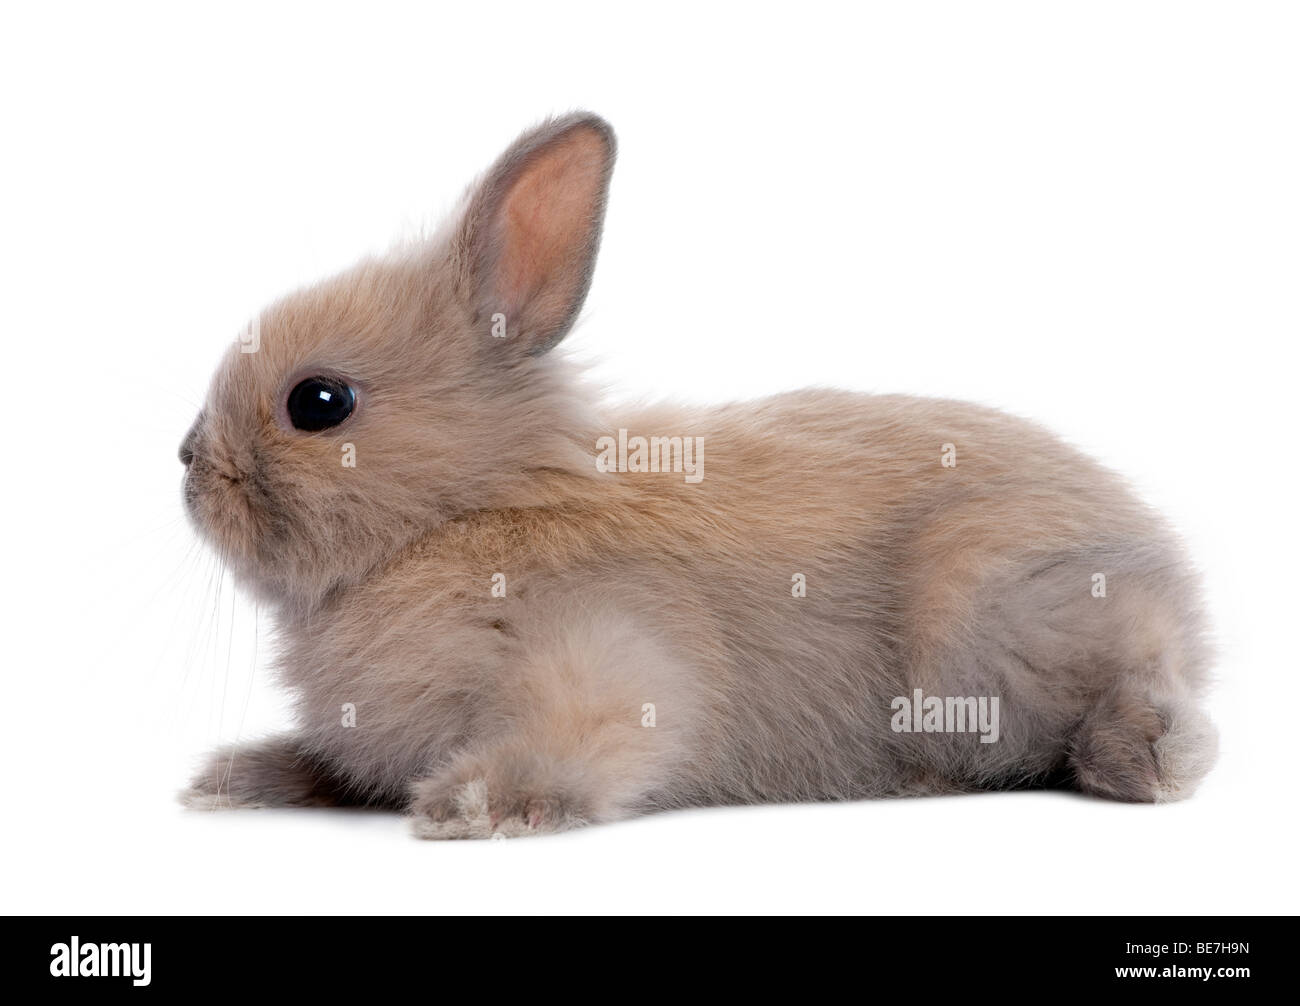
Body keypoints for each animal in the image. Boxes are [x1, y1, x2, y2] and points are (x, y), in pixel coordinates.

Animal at [180, 110, 1216, 837]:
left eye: (319, 403)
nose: (187, 467)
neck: (462, 511)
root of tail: (1170, 575)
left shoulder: (603, 662)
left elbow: (591, 739)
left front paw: (473, 805)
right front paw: (234, 781)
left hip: (993, 620)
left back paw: (1147, 759)